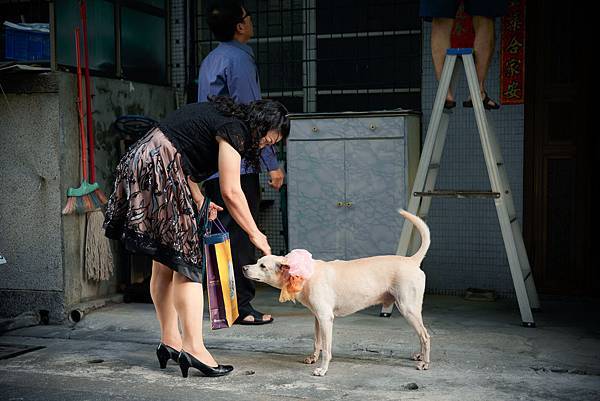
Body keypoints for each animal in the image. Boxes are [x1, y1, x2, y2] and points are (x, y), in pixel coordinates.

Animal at [244, 209, 432, 376]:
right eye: (258, 261)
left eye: (263, 266)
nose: (244, 267)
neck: (304, 274)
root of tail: (412, 260)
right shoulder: (318, 318)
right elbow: (317, 342)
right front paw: (313, 358)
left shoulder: (326, 319)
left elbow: (326, 349)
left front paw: (322, 369)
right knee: (422, 334)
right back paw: (420, 356)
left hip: (408, 308)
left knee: (425, 335)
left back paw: (425, 363)